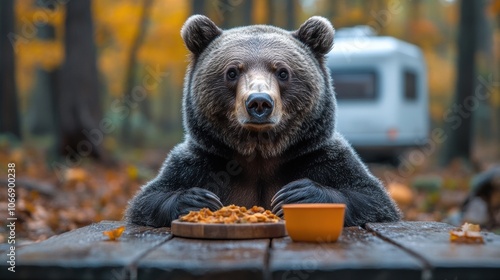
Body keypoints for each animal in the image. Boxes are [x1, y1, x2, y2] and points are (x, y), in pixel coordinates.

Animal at [125, 14, 402, 226]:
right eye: (232, 71)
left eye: (282, 72)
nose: (259, 102)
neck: (260, 153)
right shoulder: (200, 162)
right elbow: (147, 200)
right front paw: (199, 199)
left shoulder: (320, 159)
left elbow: (372, 198)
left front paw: (296, 195)